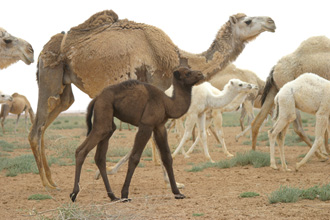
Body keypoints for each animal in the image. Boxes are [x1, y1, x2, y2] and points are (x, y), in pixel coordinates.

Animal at [70, 66, 204, 201]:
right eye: (187, 73)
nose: (200, 74)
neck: (167, 103)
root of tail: (96, 98)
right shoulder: (146, 125)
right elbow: (135, 157)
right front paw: (125, 194)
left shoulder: (159, 127)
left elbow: (167, 158)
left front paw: (178, 193)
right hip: (103, 110)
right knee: (82, 150)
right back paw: (74, 194)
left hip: (107, 121)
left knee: (100, 157)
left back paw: (113, 196)